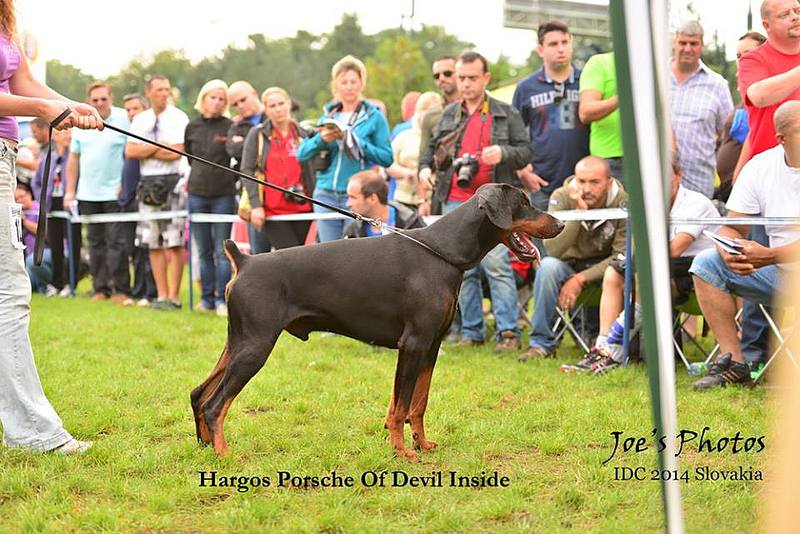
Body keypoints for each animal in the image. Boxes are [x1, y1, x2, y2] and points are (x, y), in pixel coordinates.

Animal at [191, 183, 564, 460]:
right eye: (524, 203)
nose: (560, 224)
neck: (443, 252)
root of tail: (244, 261)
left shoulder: (431, 345)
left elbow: (417, 403)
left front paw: (421, 444)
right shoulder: (412, 344)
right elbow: (401, 407)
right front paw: (403, 452)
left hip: (238, 342)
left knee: (198, 393)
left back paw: (205, 446)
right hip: (256, 345)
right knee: (214, 404)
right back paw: (225, 455)